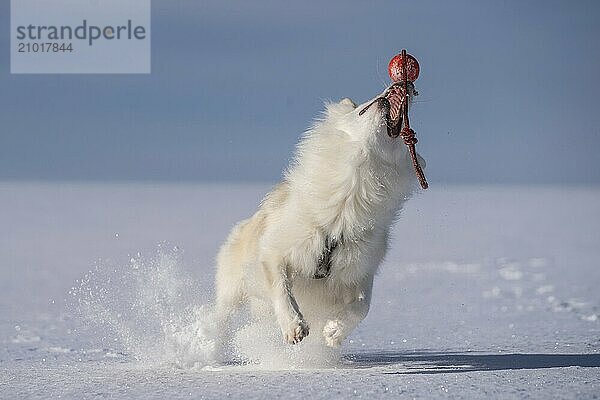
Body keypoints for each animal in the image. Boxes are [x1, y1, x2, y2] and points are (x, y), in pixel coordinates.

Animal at [213, 84, 424, 346]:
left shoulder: (360, 269)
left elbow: (363, 306)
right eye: (365, 103)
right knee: (220, 314)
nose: (406, 86)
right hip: (232, 286)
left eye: (410, 136)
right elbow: (281, 287)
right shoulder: (275, 250)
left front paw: (334, 331)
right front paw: (294, 327)